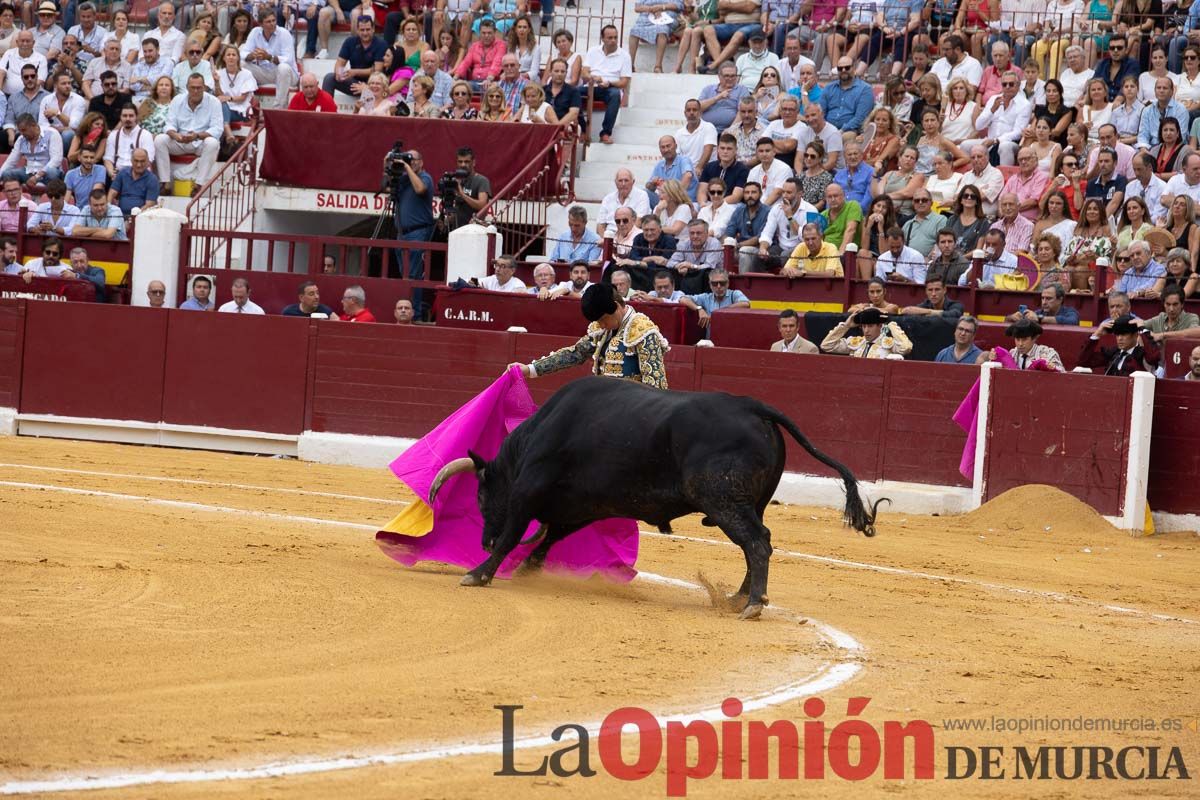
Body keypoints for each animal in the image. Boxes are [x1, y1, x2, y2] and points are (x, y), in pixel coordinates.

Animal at [432, 379, 883, 623]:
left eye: (481, 494)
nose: (483, 540)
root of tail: (754, 407)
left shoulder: (528, 492)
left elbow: (516, 533)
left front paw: (479, 573)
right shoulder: (583, 505)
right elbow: (551, 537)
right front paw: (528, 568)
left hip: (722, 500)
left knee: (756, 542)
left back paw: (752, 604)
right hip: (749, 502)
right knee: (759, 542)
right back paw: (739, 597)